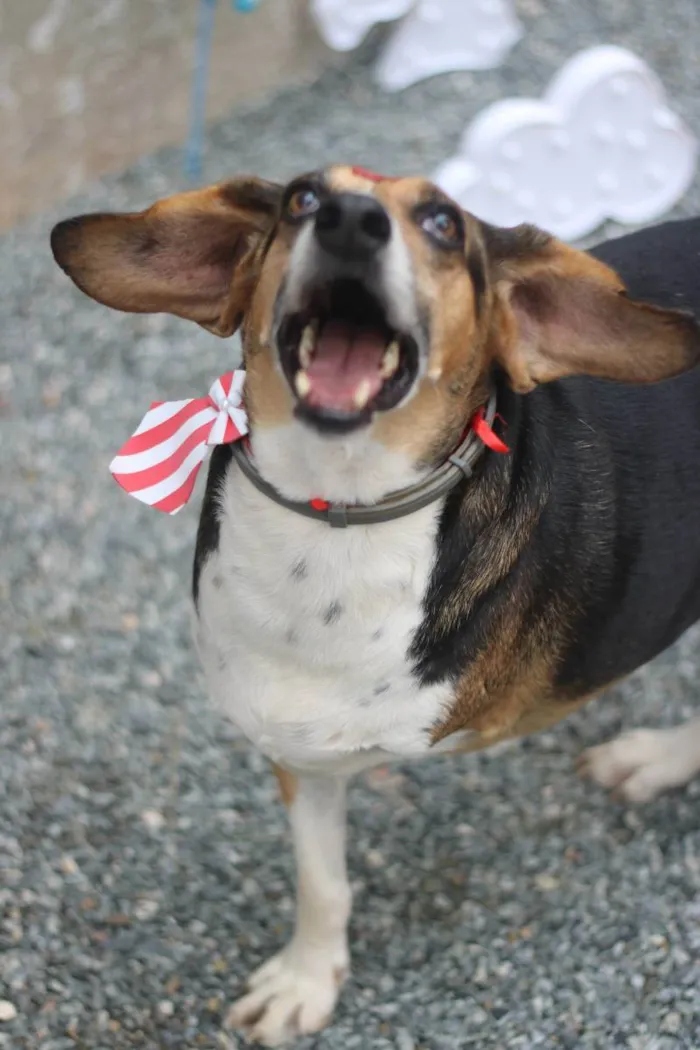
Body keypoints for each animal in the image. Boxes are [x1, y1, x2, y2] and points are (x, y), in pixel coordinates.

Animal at [51, 168, 700, 1045]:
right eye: (301, 197)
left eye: (444, 223)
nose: (350, 221)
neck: (342, 512)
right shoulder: (302, 754)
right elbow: (322, 881)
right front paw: (305, 982)